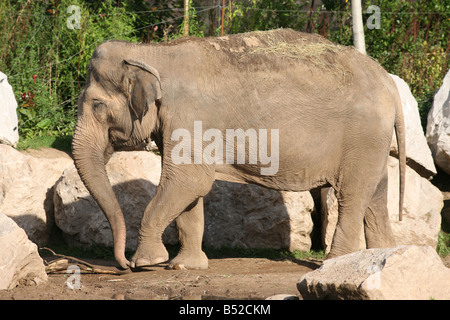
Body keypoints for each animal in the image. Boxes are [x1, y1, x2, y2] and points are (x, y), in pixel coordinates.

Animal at [72, 29, 406, 270]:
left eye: (97, 106)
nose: (122, 263)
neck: (151, 51)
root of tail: (389, 83)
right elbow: (190, 192)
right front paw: (185, 266)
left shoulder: (189, 116)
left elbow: (189, 181)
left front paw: (147, 262)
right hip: (373, 143)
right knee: (375, 197)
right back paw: (382, 256)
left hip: (363, 139)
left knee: (352, 197)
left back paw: (334, 263)